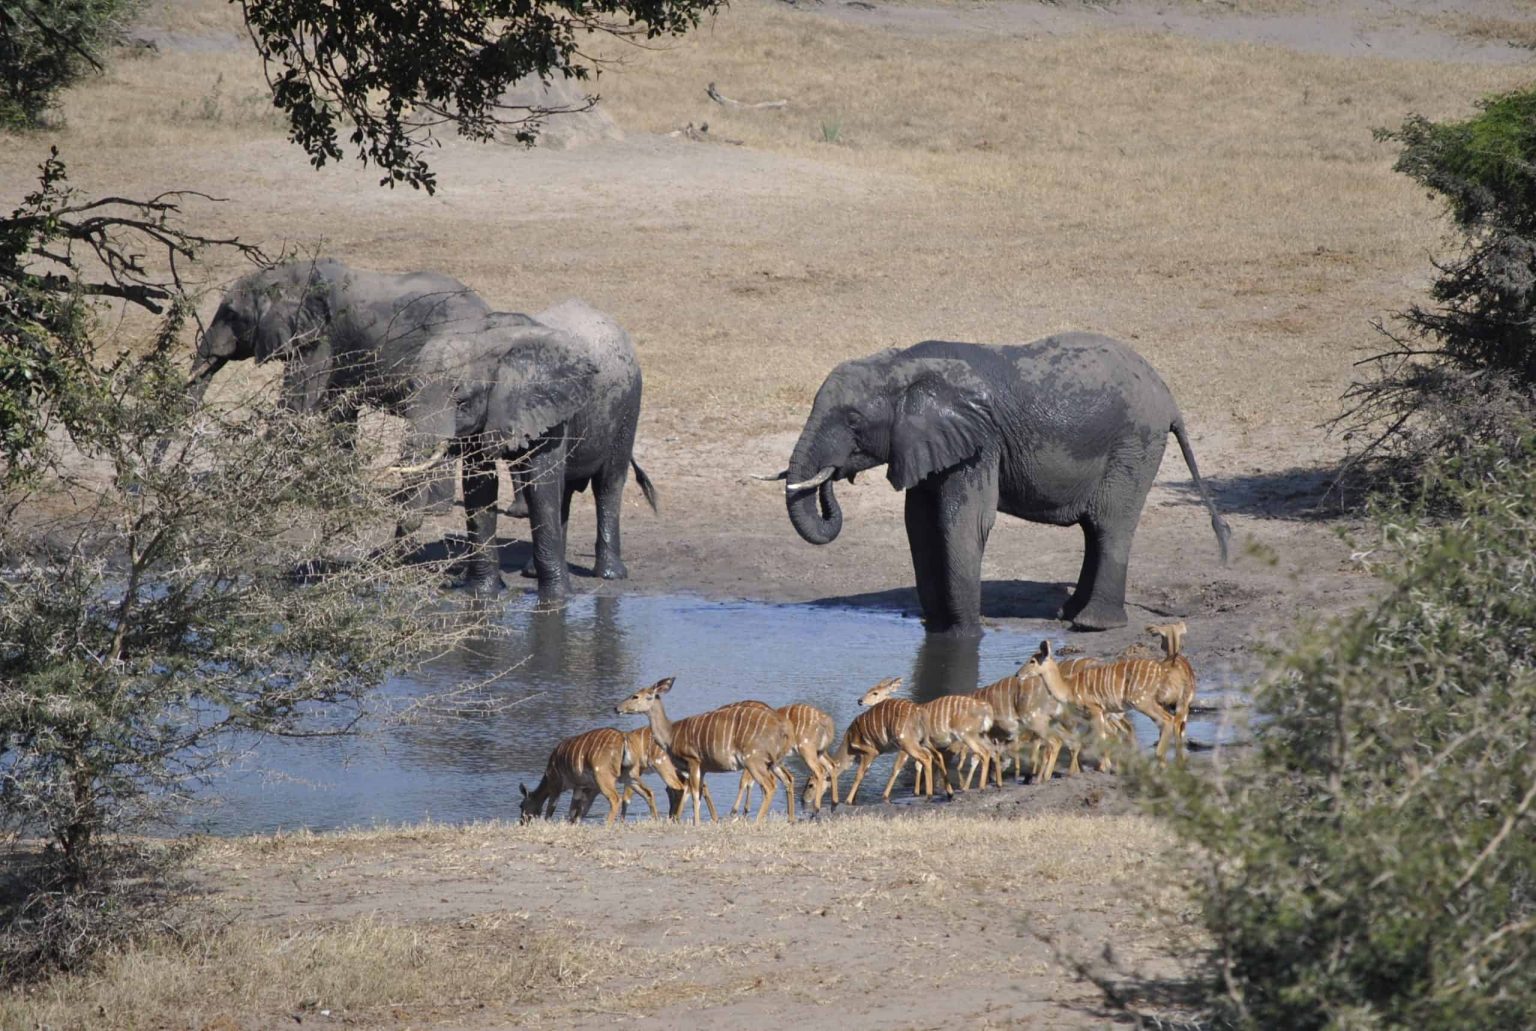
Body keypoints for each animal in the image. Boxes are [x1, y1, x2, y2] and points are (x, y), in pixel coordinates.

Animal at [614, 676, 798, 829]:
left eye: (635, 696)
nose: (616, 707)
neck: (671, 734)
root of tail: (782, 727)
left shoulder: (693, 761)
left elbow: (694, 793)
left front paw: (695, 823)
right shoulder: (702, 768)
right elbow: (698, 793)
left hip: (753, 760)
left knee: (769, 785)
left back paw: (757, 821)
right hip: (773, 762)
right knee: (786, 779)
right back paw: (790, 820)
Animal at [774, 334, 1228, 633]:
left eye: (853, 420)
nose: (833, 476)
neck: (904, 367)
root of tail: (1168, 397)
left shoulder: (980, 443)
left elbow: (964, 524)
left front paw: (965, 635)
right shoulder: (928, 443)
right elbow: (919, 525)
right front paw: (934, 627)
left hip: (1135, 444)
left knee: (1110, 525)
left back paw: (1092, 625)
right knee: (1094, 529)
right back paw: (1068, 615)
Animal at [829, 676, 946, 805]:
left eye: (875, 693)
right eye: (869, 689)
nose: (860, 701)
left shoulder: (903, 747)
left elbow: (896, 768)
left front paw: (885, 795)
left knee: (926, 758)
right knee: (936, 756)